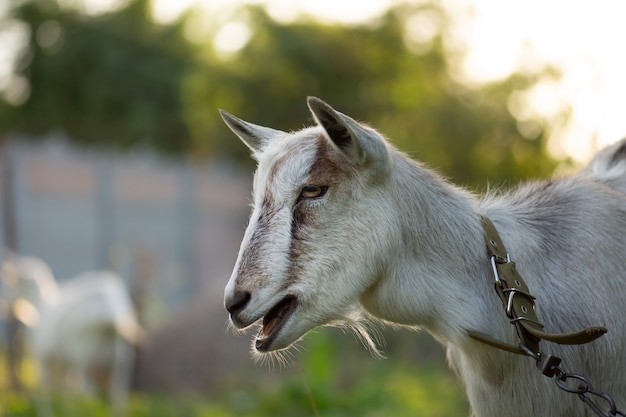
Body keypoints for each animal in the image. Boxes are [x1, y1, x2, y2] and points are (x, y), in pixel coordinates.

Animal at [0, 255, 140, 414]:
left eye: (12, 281)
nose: (4, 302)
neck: (42, 305)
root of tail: (109, 310)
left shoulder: (44, 358)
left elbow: (45, 391)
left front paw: (47, 413)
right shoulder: (64, 363)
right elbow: (66, 390)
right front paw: (66, 410)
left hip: (85, 359)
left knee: (89, 394)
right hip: (120, 361)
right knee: (117, 395)